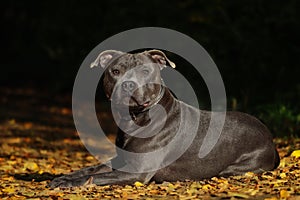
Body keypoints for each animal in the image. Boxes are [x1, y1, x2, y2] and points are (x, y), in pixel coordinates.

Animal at [48, 49, 280, 188]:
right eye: (115, 71)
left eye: (145, 71)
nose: (128, 84)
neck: (135, 118)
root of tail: (270, 136)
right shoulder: (122, 159)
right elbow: (92, 169)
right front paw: (63, 177)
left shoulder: (137, 171)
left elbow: (96, 176)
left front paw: (65, 183)